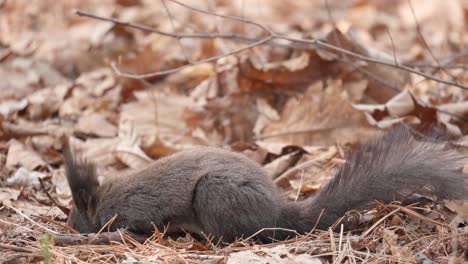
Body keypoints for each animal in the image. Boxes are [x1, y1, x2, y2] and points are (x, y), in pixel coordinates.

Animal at [65, 127, 468, 242]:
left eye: (74, 214)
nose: (66, 224)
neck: (104, 200)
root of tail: (279, 212)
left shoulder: (133, 211)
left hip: (215, 195)